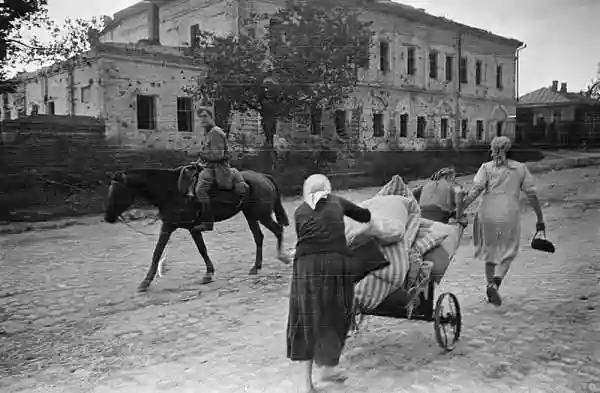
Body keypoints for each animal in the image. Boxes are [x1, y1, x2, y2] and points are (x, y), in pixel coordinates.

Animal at [104, 165, 292, 290]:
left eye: (116, 191)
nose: (107, 217)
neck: (171, 191)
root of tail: (263, 176)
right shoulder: (177, 226)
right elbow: (163, 252)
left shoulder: (183, 227)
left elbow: (192, 250)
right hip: (251, 215)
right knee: (259, 237)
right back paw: (256, 267)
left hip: (261, 215)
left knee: (277, 230)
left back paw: (282, 257)